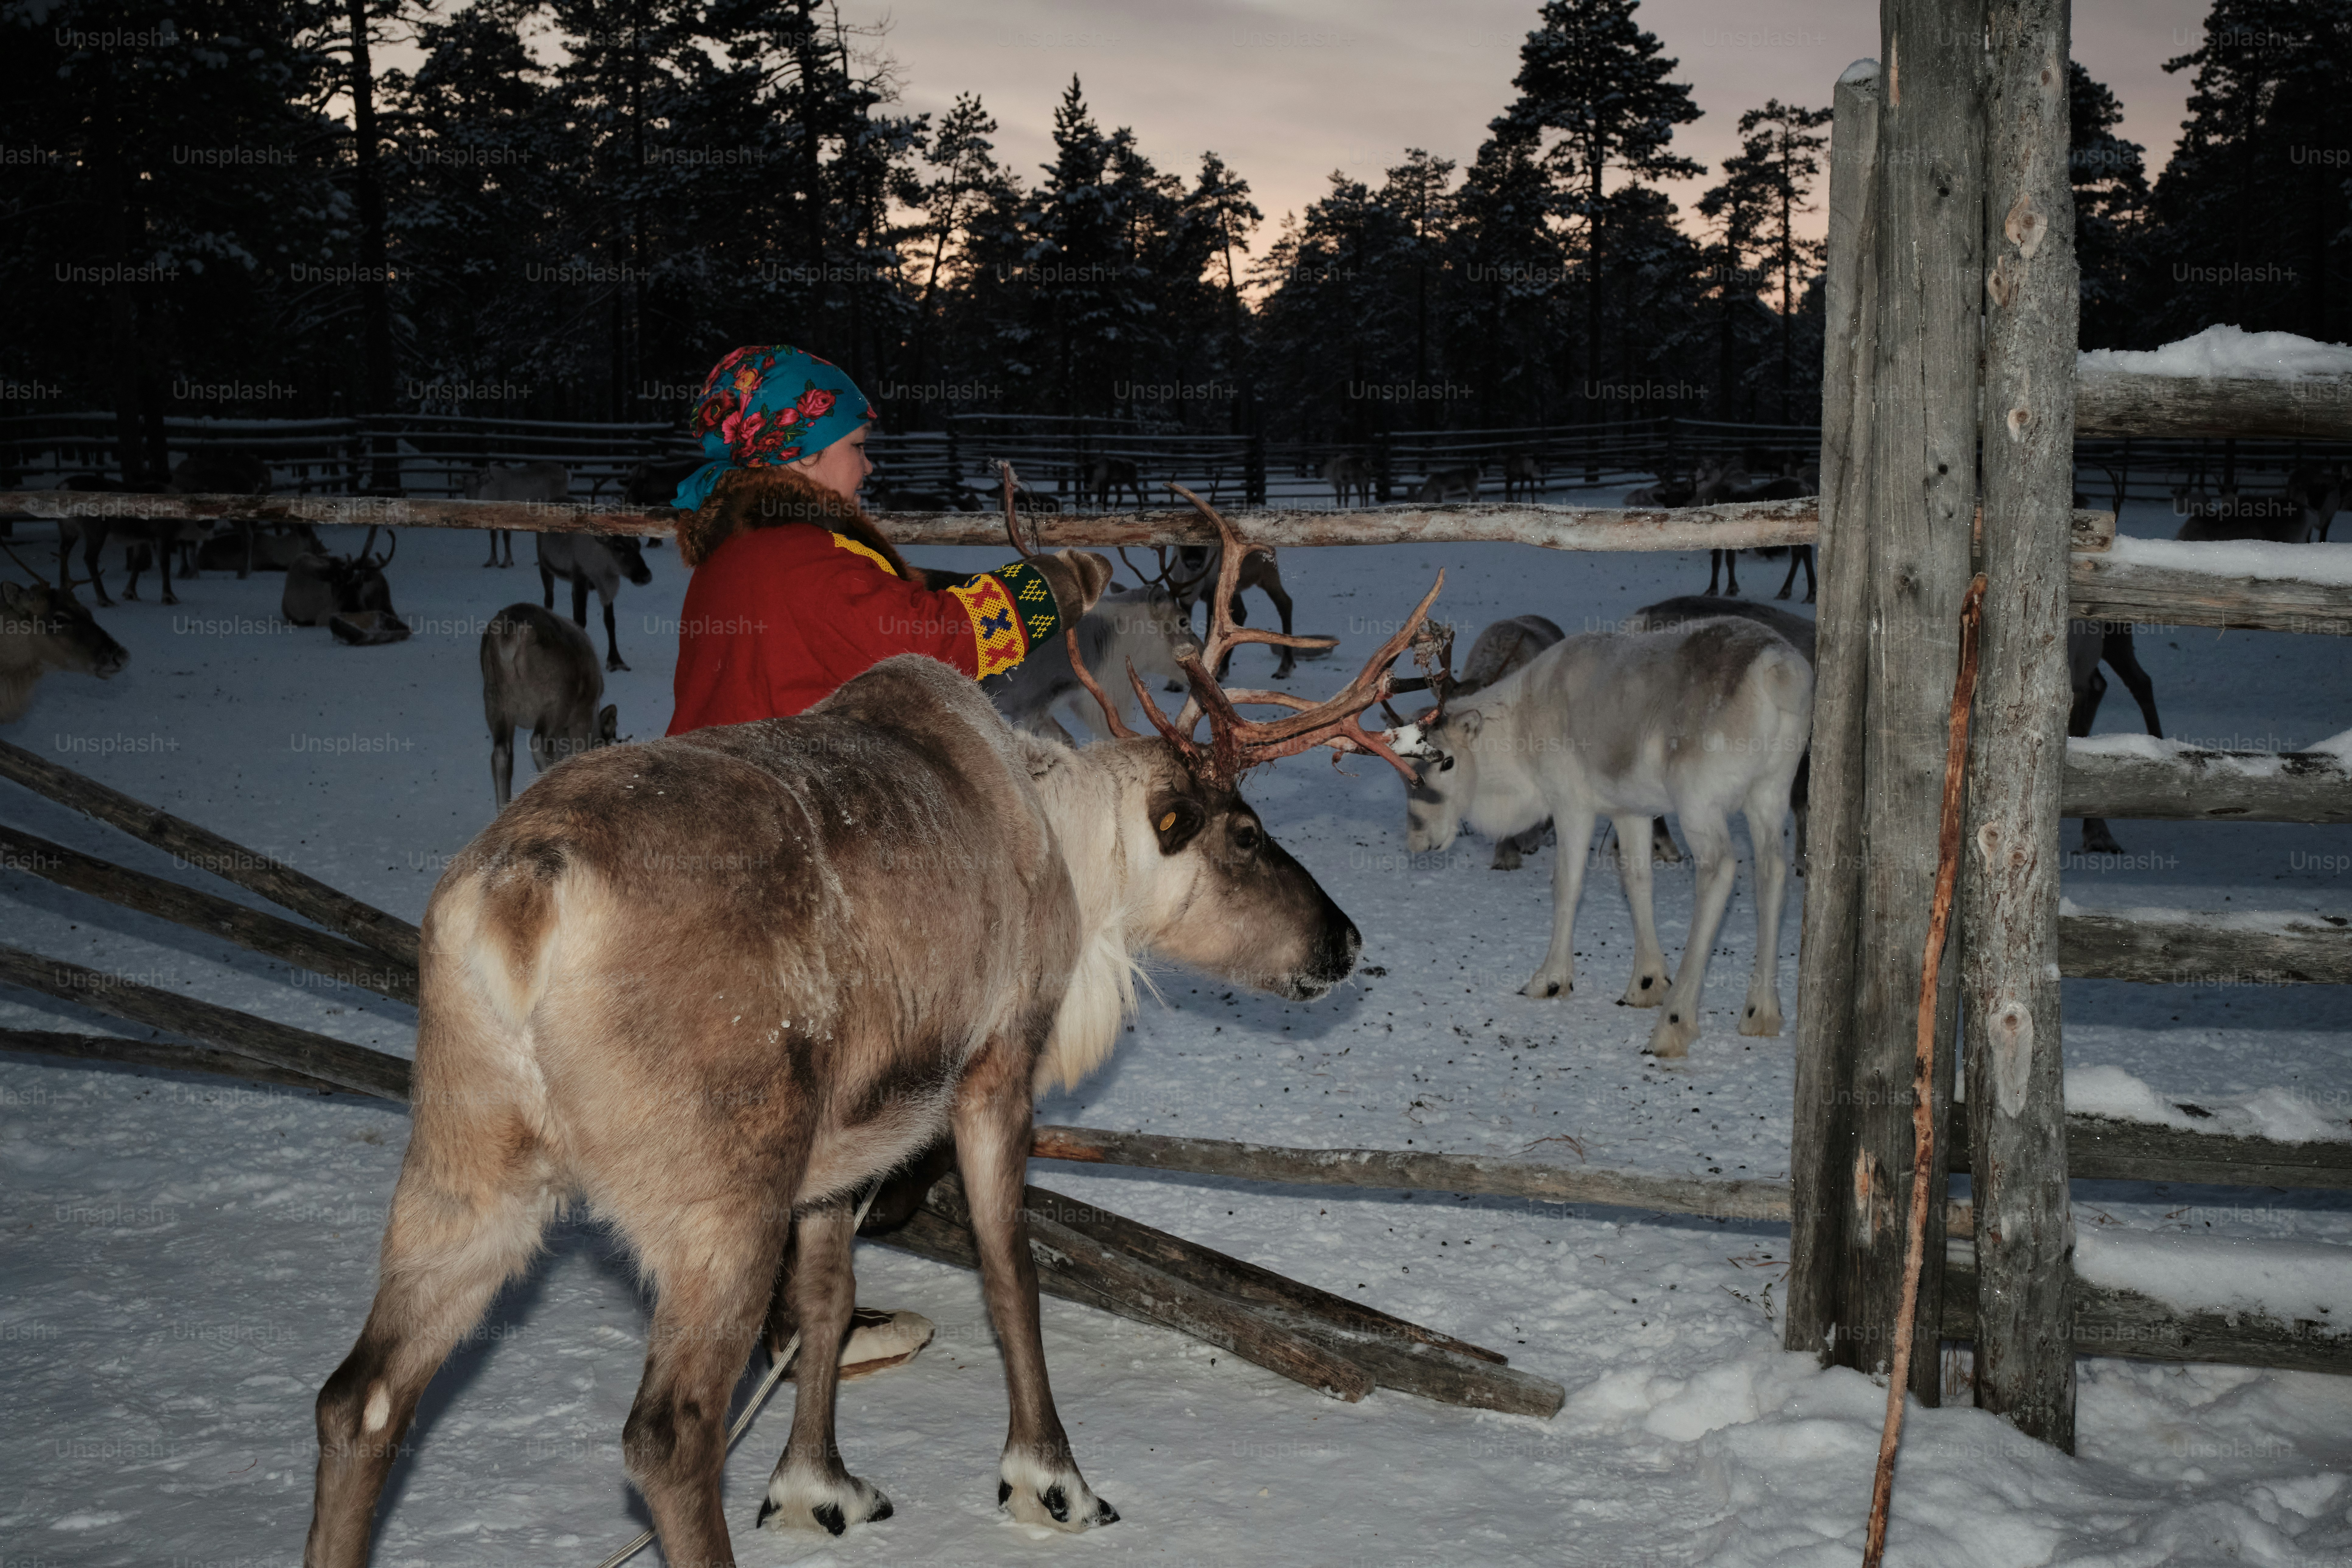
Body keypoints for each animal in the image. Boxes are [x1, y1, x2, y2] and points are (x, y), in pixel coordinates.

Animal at [460, 461, 571, 568]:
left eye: (479, 486)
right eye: (464, 488)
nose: (469, 503)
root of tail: (565, 473)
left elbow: (506, 537)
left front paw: (507, 562)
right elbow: (493, 536)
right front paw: (492, 561)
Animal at [480, 601, 619, 808]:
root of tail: (510, 638)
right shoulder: (581, 716)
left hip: (496, 703)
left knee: (501, 753)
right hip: (554, 701)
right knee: (537, 742)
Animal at [537, 530, 653, 672]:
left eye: (638, 545)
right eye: (618, 547)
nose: (645, 576)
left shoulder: (605, 588)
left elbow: (610, 621)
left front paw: (615, 661)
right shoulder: (581, 578)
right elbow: (581, 620)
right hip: (544, 566)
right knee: (549, 600)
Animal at [1390, 615, 1812, 1057]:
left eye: (1448, 763)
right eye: (1405, 776)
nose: (1418, 840)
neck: (1520, 726)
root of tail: (1778, 670)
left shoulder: (1571, 803)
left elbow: (1567, 885)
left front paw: (1550, 978)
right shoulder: (1631, 810)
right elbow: (1637, 882)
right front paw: (1646, 983)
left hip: (1699, 801)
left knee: (1720, 870)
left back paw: (1674, 1023)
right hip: (1770, 791)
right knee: (1773, 870)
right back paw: (1761, 1013)